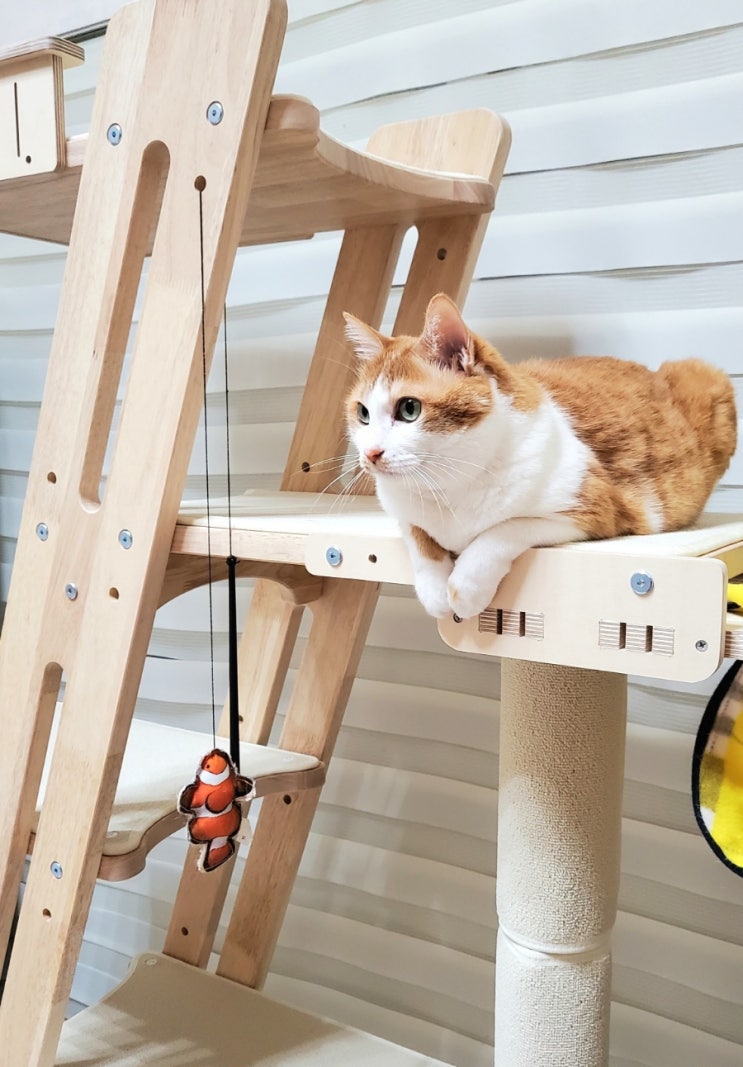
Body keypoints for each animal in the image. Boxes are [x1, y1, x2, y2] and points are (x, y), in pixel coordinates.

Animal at [344, 293, 737, 621]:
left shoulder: (595, 508)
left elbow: (504, 529)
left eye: (409, 409)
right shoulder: (400, 508)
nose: (370, 454)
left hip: (707, 377)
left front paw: (464, 589)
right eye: (363, 413)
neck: (452, 483)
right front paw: (435, 590)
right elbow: (418, 535)